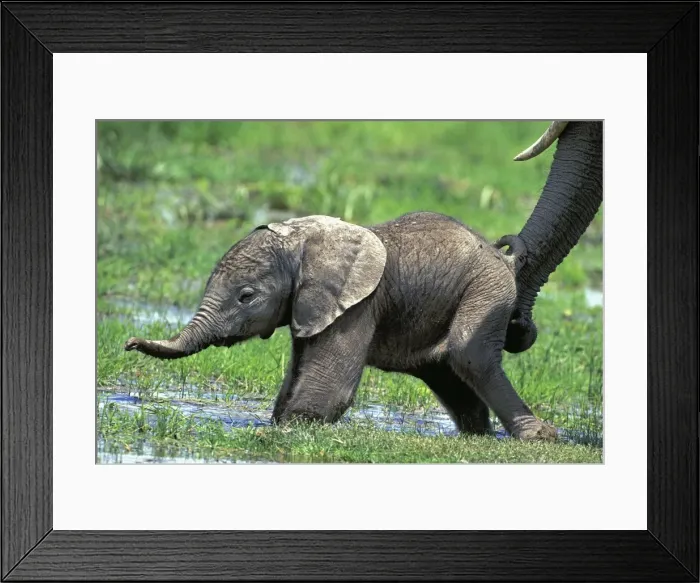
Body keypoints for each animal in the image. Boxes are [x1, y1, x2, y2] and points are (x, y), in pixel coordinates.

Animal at [124, 121, 603, 441]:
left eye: (246, 296)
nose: (128, 343)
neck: (307, 241)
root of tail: (496, 252)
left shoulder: (356, 307)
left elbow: (326, 391)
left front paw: (282, 431)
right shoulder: (313, 307)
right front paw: (274, 423)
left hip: (486, 289)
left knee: (471, 356)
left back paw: (539, 436)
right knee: (447, 371)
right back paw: (479, 435)